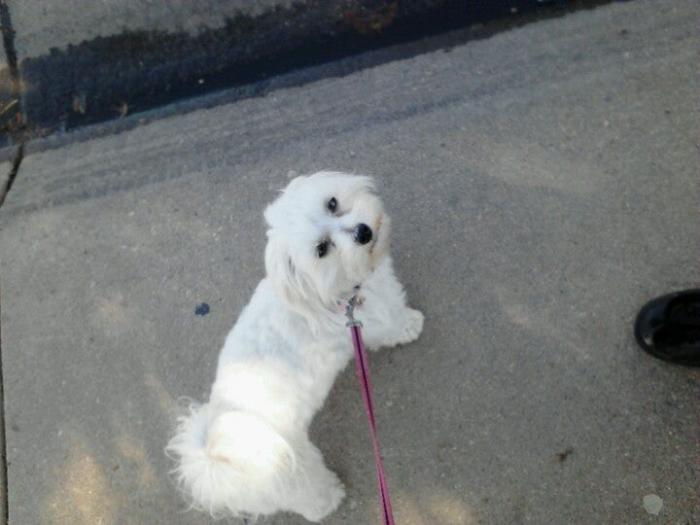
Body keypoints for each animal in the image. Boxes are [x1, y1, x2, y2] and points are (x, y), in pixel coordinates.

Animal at [167, 171, 424, 522]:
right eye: (322, 249)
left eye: (332, 203)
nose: (363, 232)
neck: (330, 290)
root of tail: (216, 460)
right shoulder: (376, 319)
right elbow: (396, 323)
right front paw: (412, 324)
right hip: (291, 469)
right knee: (307, 496)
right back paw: (329, 497)